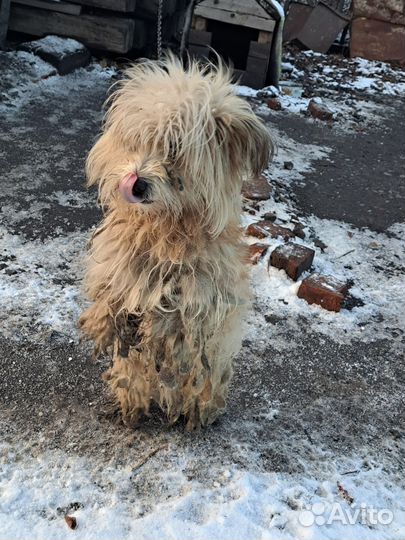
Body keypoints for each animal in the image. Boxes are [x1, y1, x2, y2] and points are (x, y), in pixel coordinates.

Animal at [79, 56, 272, 430]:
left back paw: (197, 412)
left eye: (174, 148)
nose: (136, 184)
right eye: (137, 140)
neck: (166, 227)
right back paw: (131, 409)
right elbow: (112, 292)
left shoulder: (200, 296)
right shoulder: (121, 260)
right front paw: (102, 322)